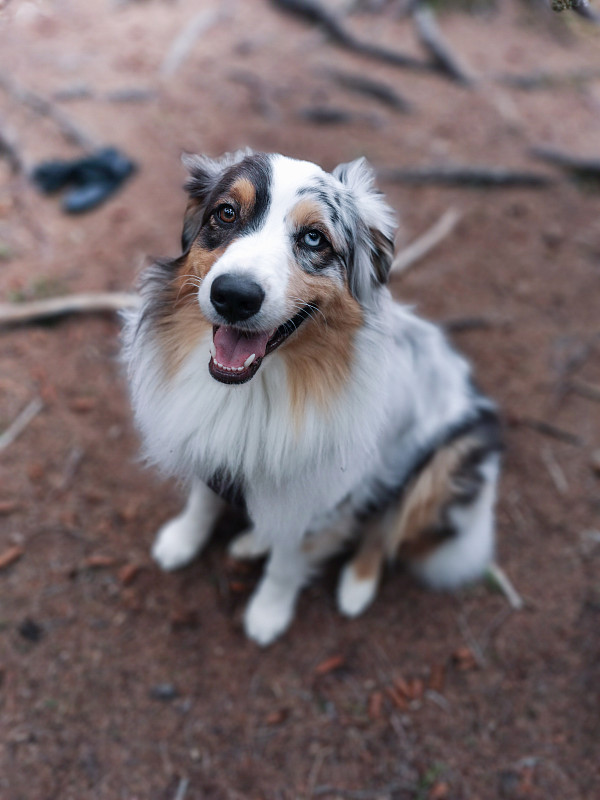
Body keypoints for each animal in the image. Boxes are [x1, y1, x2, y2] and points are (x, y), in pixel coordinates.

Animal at [124, 153, 504, 648]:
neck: (257, 390)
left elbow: (288, 565)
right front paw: (182, 540)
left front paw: (268, 613)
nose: (234, 296)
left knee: (385, 528)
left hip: (443, 463)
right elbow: (203, 502)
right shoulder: (213, 448)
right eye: (225, 213)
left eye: (313, 237)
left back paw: (357, 584)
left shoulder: (323, 496)